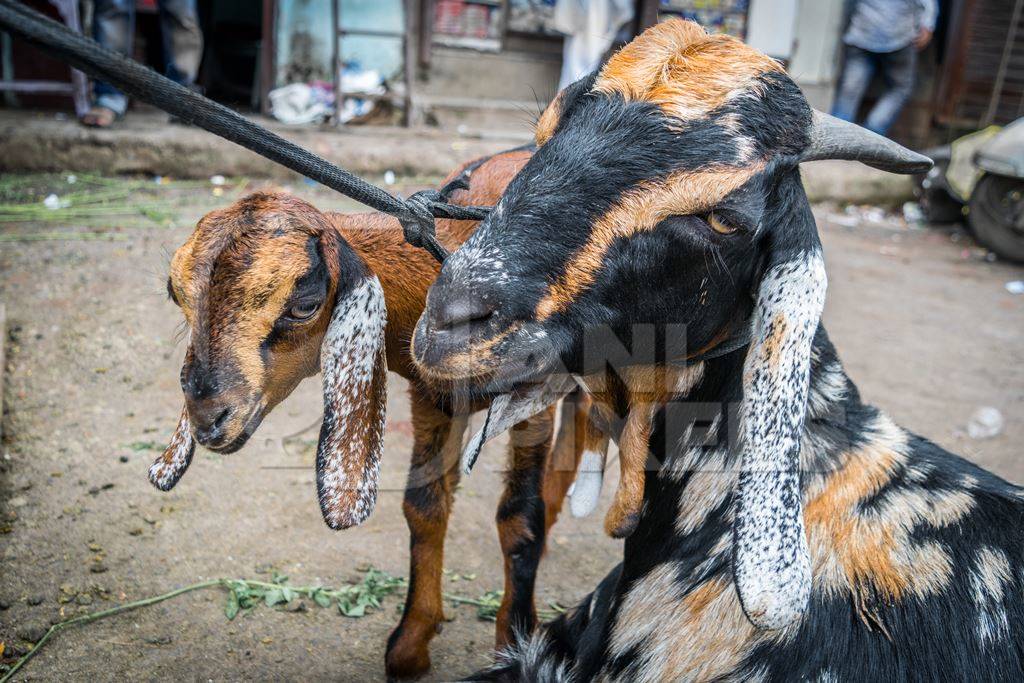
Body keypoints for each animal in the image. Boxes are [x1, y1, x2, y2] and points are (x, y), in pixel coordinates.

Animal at [147, 149, 589, 679]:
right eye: (175, 293)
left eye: (305, 304)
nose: (208, 419)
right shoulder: (431, 398)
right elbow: (424, 507)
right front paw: (410, 644)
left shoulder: (532, 399)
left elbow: (519, 518)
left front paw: (515, 644)